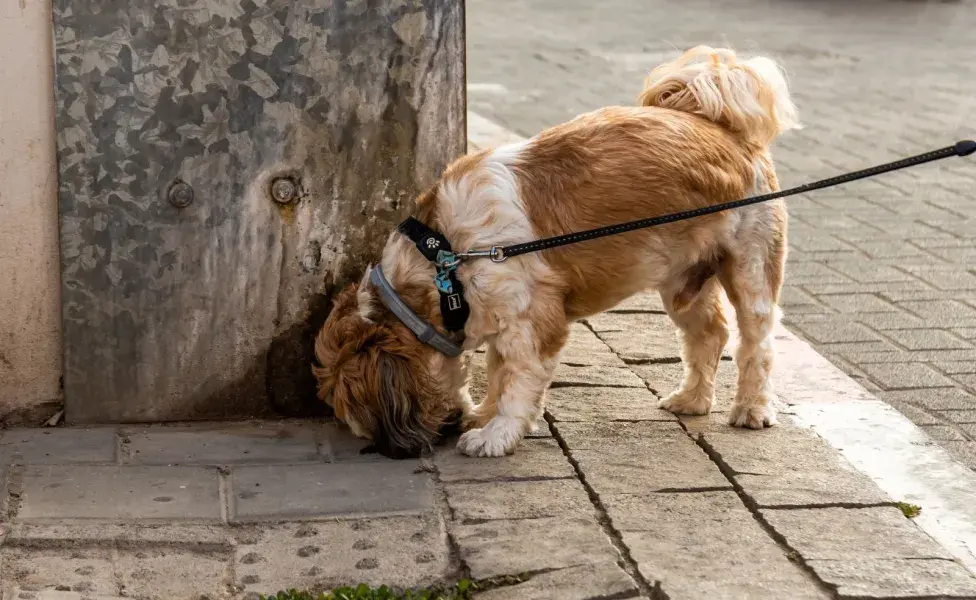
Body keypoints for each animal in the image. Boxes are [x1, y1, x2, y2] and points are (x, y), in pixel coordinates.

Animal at [312, 47, 800, 458]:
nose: (384, 448)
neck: (446, 260)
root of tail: (725, 129)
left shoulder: (532, 322)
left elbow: (517, 379)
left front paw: (497, 433)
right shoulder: (498, 315)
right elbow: (498, 371)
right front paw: (486, 413)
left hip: (751, 268)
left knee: (755, 343)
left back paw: (752, 409)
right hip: (683, 284)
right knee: (709, 335)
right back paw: (693, 399)